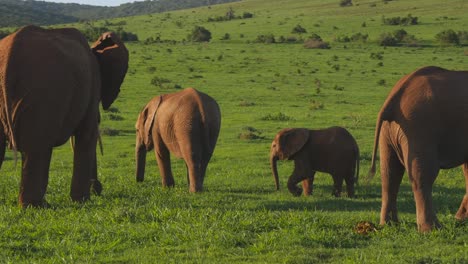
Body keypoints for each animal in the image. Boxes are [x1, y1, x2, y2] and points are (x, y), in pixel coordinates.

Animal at [0, 25, 129, 207]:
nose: (97, 188)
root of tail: (10, 55)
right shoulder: (92, 85)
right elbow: (87, 134)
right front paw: (82, 201)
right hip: (43, 93)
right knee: (38, 146)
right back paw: (37, 206)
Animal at [370, 65, 468, 231]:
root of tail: (396, 94)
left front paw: (461, 219)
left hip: (389, 130)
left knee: (390, 173)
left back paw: (390, 224)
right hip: (419, 126)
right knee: (423, 175)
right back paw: (432, 229)